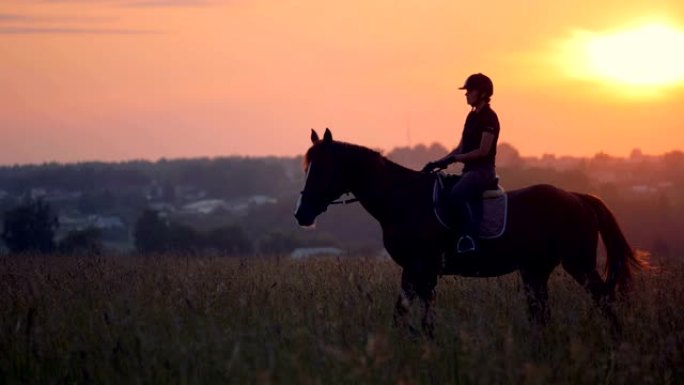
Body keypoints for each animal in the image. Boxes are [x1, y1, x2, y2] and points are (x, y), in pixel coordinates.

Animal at [292, 128, 648, 336]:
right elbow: (410, 314)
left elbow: (416, 315)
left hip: (578, 264)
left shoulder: (422, 268)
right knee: (542, 314)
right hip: (535, 270)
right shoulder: (416, 271)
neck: (403, 199)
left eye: (321, 168)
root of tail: (578, 197)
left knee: (603, 300)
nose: (301, 214)